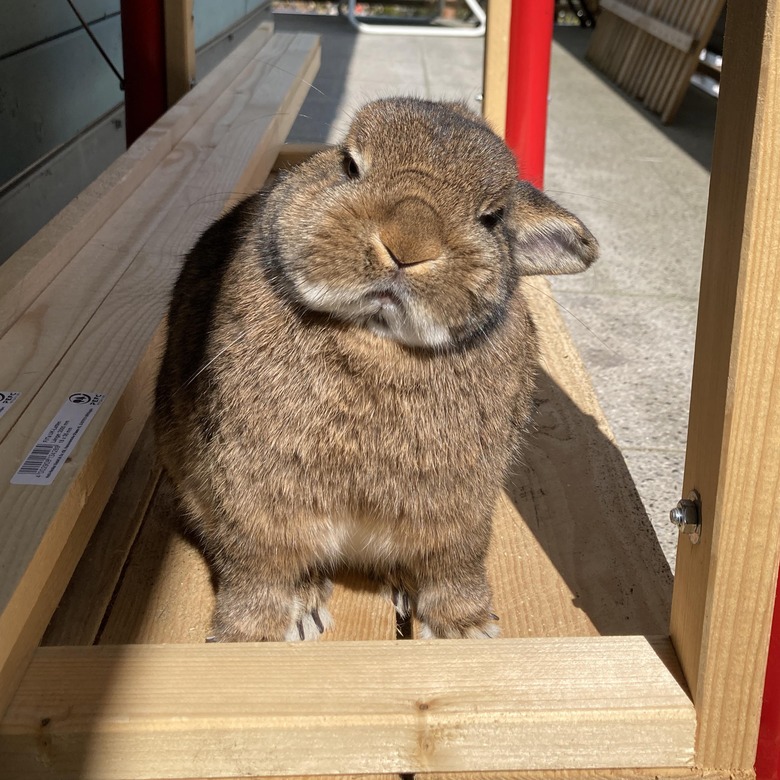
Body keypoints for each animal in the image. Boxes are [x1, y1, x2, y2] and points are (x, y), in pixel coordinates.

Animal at [155, 97, 600, 644]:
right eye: (349, 164)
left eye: (493, 218)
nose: (407, 245)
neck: (376, 341)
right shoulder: (254, 494)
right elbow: (259, 564)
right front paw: (249, 636)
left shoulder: (459, 510)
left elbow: (454, 562)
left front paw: (465, 629)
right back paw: (304, 609)